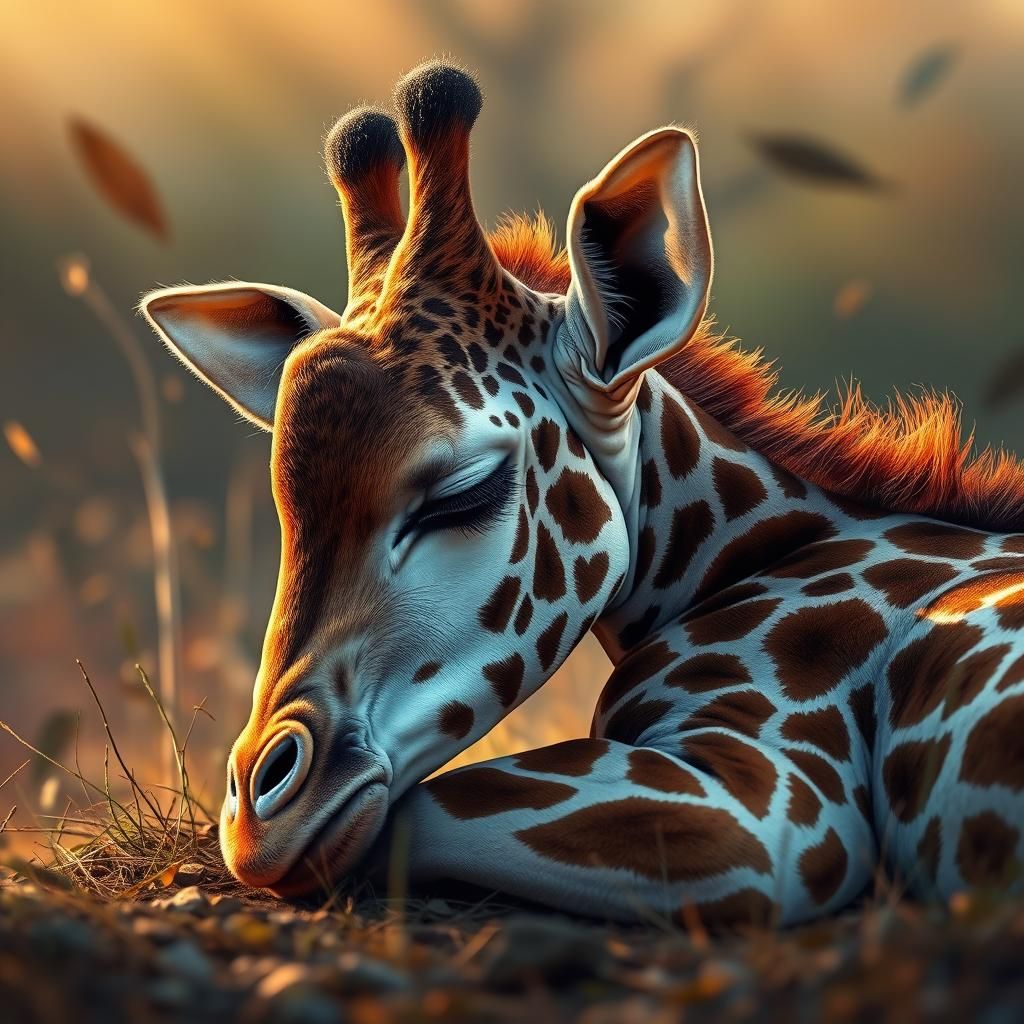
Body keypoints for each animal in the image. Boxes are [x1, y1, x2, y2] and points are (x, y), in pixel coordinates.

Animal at [142, 61, 1024, 927]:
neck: (762, 552)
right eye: (287, 510)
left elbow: (414, 814)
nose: (260, 821)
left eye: (464, 493)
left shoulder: (771, 816)